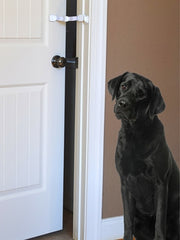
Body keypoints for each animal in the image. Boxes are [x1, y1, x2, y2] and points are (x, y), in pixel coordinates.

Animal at [107, 72, 179, 240]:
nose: (122, 103)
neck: (135, 133)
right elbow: (127, 221)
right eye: (124, 86)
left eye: (141, 94)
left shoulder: (160, 182)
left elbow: (159, 222)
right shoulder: (125, 183)